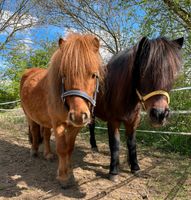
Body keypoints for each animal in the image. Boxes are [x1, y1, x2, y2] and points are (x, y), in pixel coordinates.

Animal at [19, 32, 103, 188]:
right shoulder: (58, 123)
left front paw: (69, 170)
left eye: (94, 75)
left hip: (45, 119)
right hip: (29, 116)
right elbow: (62, 149)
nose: (78, 115)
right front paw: (63, 177)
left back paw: (48, 154)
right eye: (64, 75)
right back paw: (34, 151)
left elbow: (69, 148)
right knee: (34, 131)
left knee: (46, 135)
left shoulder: (74, 127)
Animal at [89, 36, 184, 181]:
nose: (160, 114)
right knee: (91, 126)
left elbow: (132, 143)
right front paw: (113, 172)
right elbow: (115, 144)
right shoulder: (113, 121)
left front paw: (135, 167)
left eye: (172, 75)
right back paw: (94, 147)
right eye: (144, 73)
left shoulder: (133, 121)